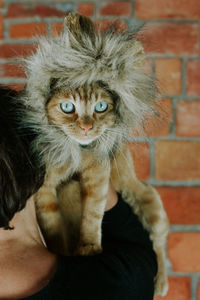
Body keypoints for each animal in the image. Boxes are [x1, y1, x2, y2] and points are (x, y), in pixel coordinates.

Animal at [21, 13, 169, 296]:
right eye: (68, 107)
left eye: (100, 106)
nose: (87, 127)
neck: (73, 153)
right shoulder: (44, 190)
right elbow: (53, 228)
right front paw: (65, 254)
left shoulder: (98, 173)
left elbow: (92, 212)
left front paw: (88, 246)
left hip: (145, 198)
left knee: (157, 240)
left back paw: (161, 281)